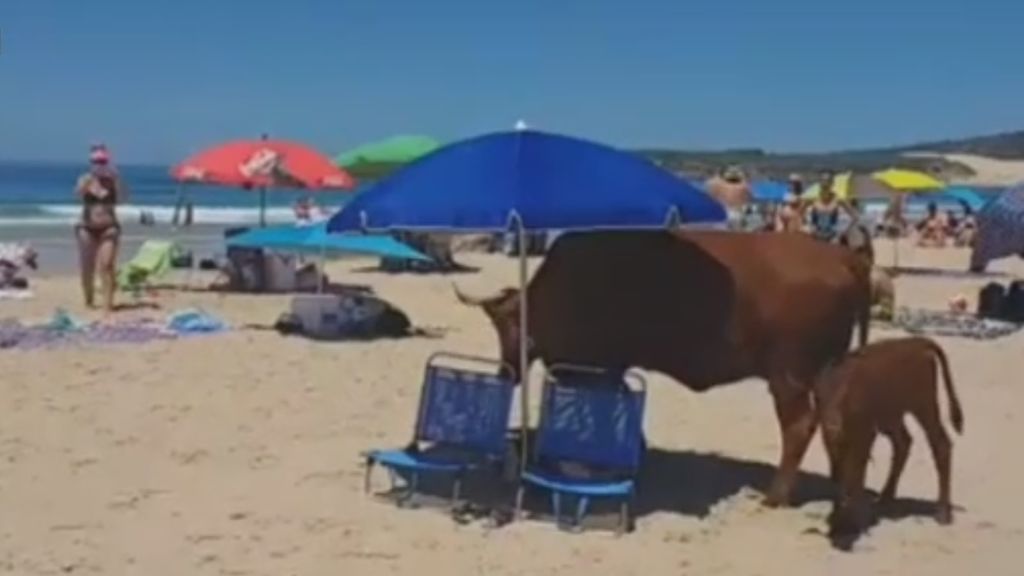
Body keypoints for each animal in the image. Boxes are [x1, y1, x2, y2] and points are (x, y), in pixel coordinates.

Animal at [453, 229, 873, 507]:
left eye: (506, 325)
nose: (506, 372)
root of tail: (840, 256)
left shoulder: (594, 370)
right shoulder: (612, 370)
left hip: (789, 377)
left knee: (799, 426)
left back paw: (775, 496)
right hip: (826, 374)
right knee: (833, 423)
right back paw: (837, 485)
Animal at [816, 337, 963, 541]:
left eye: (844, 397)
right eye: (819, 398)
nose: (832, 426)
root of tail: (919, 342)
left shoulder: (864, 438)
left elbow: (855, 475)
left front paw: (852, 522)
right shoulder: (833, 444)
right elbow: (840, 475)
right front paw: (838, 518)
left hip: (924, 407)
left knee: (940, 444)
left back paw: (942, 513)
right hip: (892, 416)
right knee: (903, 443)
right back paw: (886, 498)